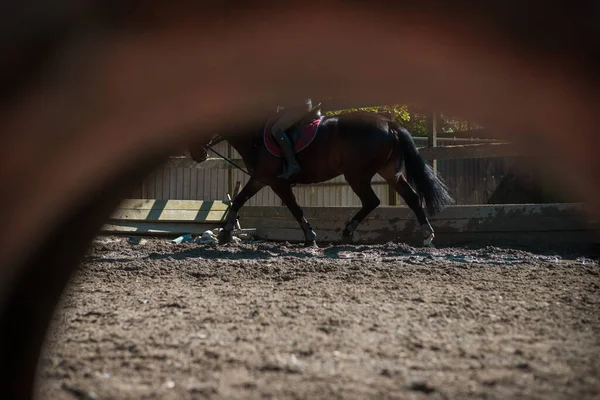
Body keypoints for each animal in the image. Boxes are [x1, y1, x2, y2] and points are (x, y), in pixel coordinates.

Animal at [189, 110, 454, 247]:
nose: (196, 154)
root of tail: (389, 124)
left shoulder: (276, 182)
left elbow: (295, 209)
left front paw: (310, 237)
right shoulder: (260, 178)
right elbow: (238, 200)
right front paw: (224, 234)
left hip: (357, 174)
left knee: (372, 201)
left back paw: (348, 231)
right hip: (389, 172)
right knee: (411, 197)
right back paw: (426, 235)